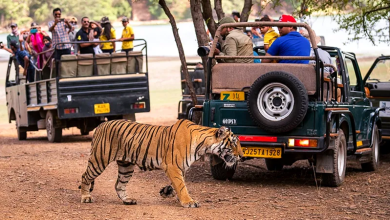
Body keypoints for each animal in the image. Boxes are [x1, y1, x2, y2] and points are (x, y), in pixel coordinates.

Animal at [80, 118, 242, 208]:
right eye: (234, 143)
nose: (241, 155)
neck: (203, 146)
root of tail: (101, 125)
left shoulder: (180, 168)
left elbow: (179, 184)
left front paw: (167, 192)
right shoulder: (173, 166)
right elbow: (181, 185)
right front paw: (188, 201)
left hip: (126, 166)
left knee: (119, 184)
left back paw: (128, 200)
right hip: (99, 160)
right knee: (85, 177)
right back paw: (85, 197)